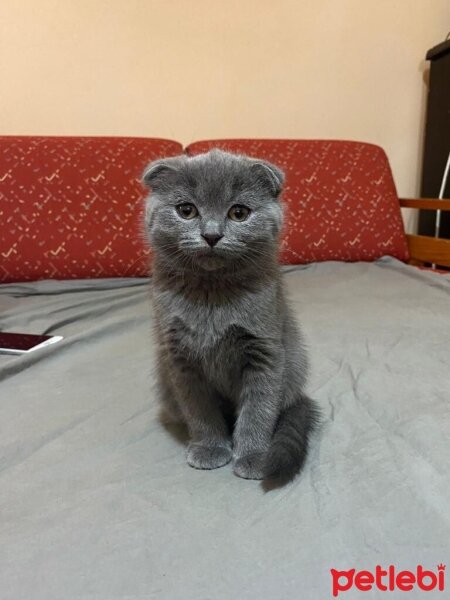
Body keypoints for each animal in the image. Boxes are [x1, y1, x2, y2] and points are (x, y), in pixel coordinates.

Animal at [142, 150, 318, 482]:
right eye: (186, 210)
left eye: (239, 213)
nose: (211, 235)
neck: (212, 294)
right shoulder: (180, 357)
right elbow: (199, 408)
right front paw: (210, 448)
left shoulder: (265, 350)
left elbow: (258, 409)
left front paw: (253, 456)